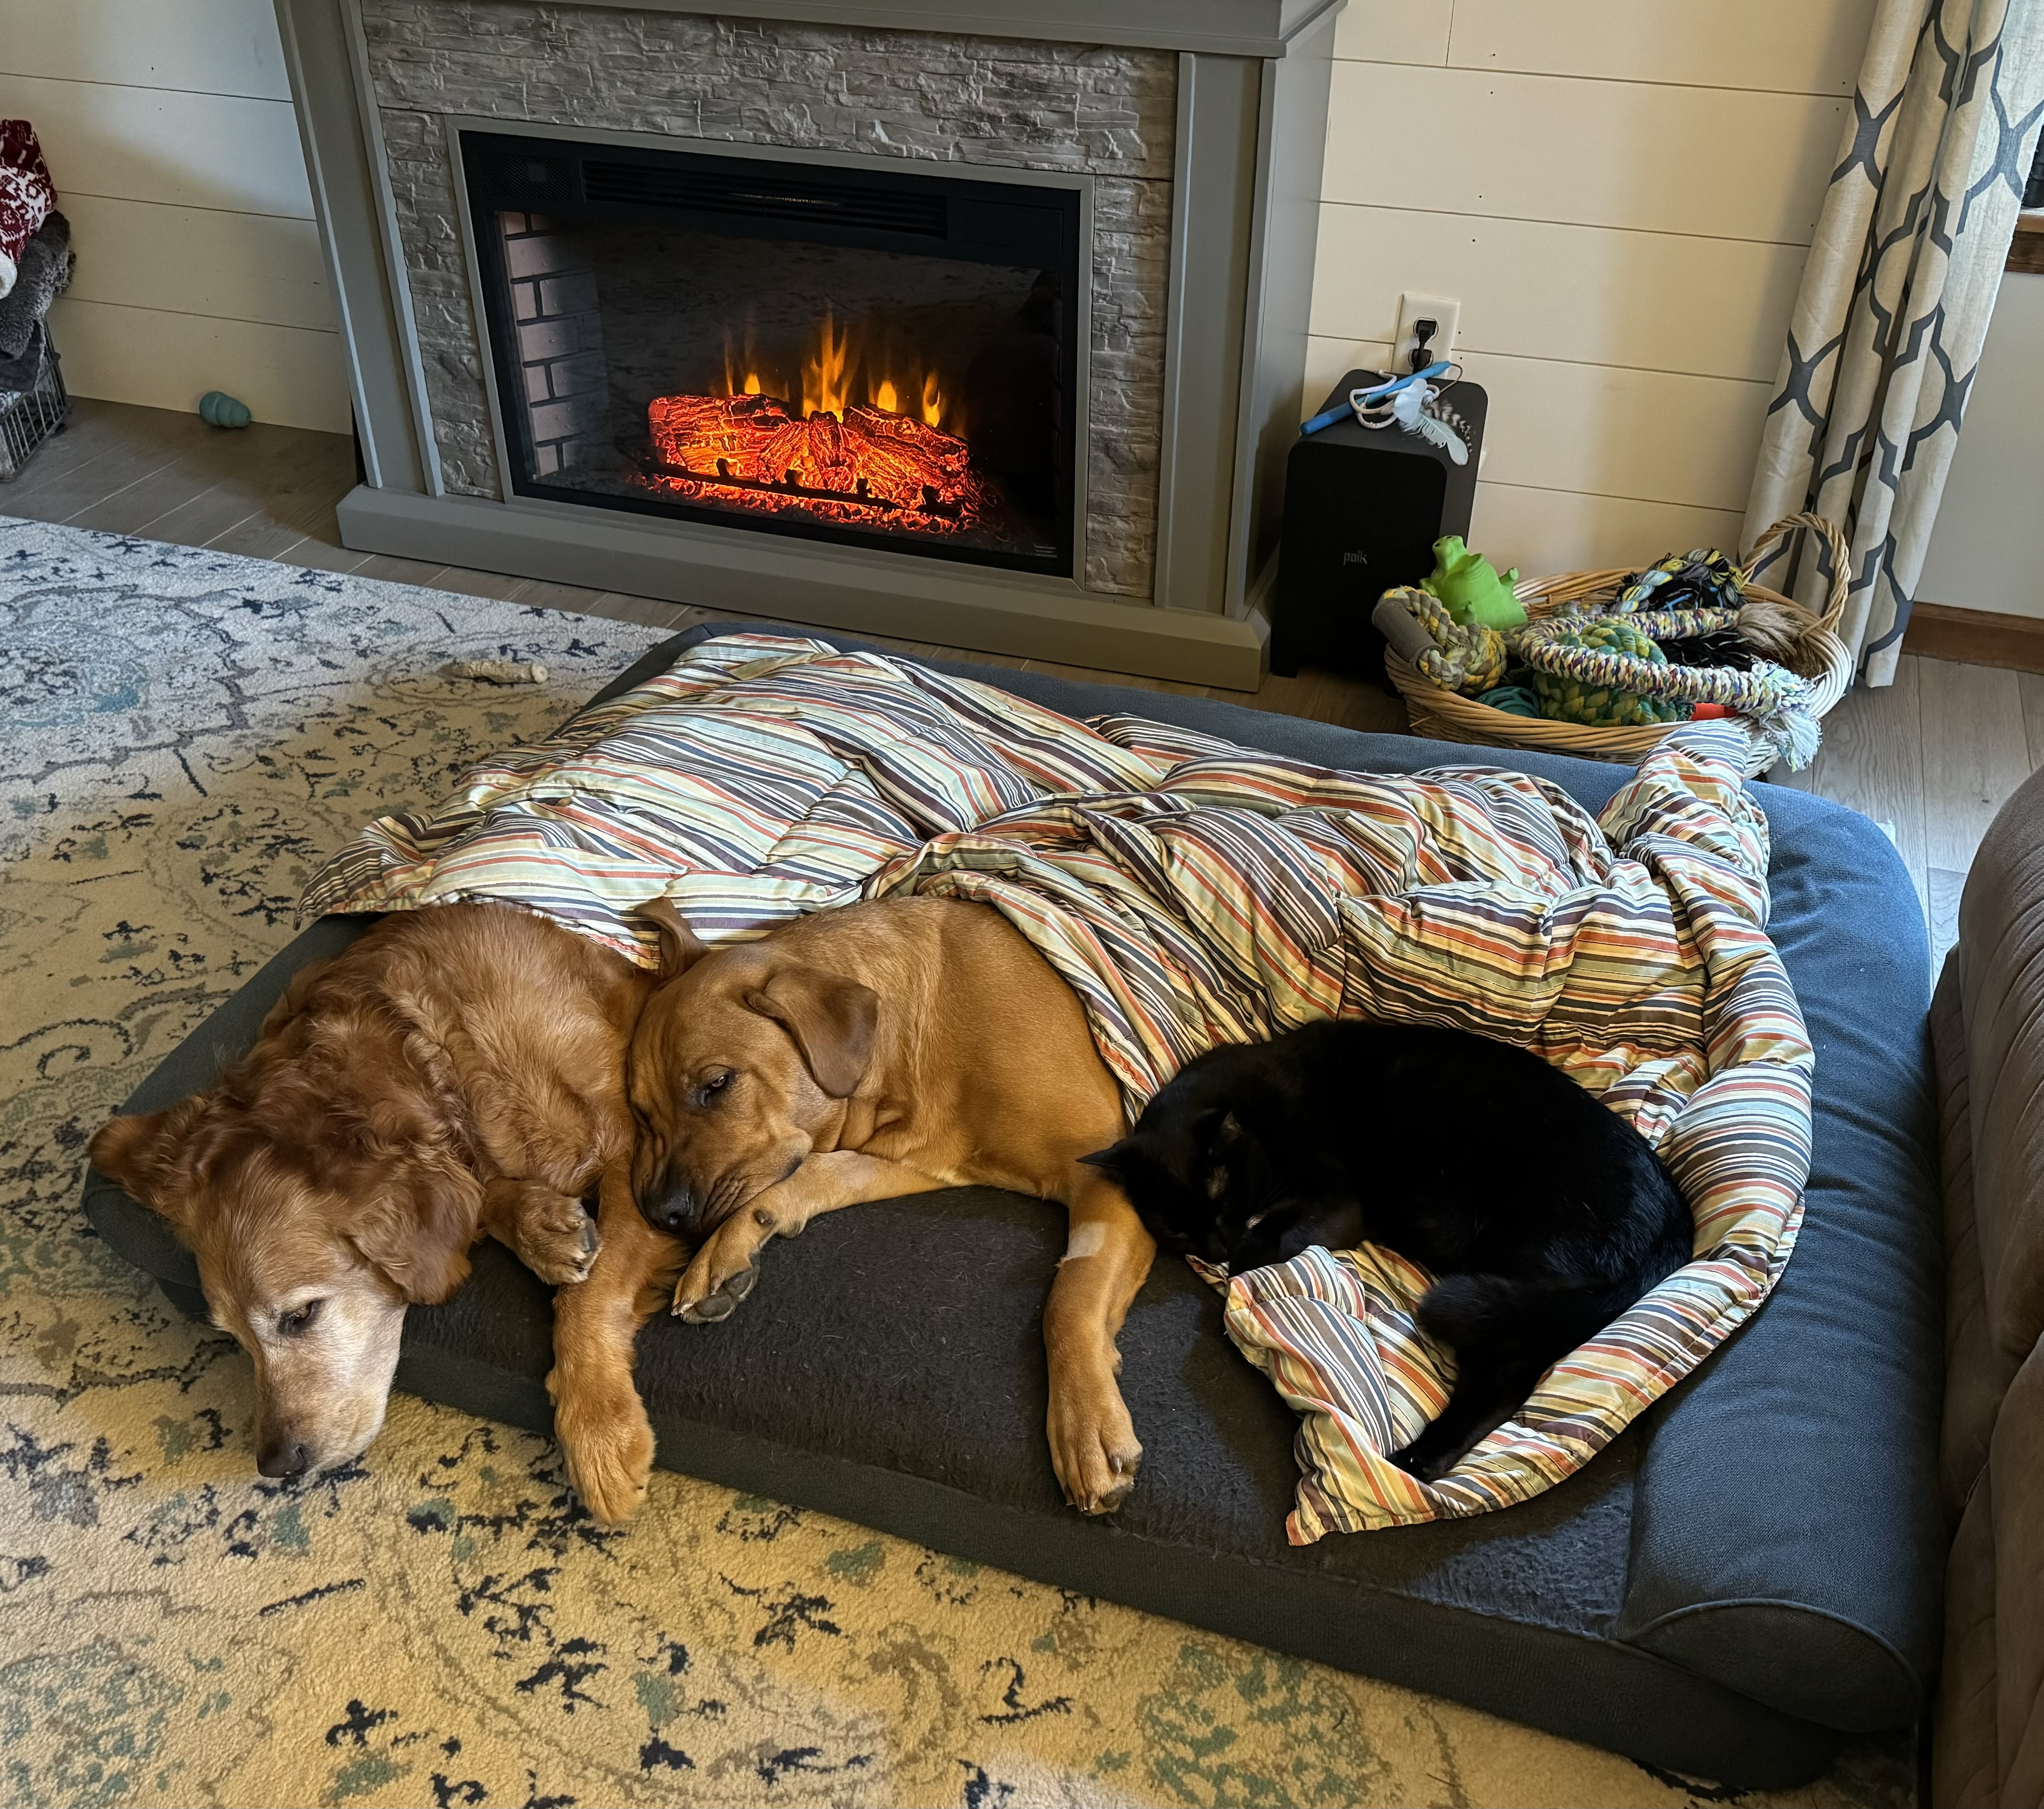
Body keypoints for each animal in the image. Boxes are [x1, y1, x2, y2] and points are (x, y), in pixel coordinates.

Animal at [543, 891, 1153, 1521]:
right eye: (641, 1114)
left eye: (716, 1084)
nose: (660, 1213)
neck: (911, 1046)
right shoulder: (915, 1158)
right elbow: (818, 1172)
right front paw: (728, 1249)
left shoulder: (1104, 1176)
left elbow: (1069, 1296)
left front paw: (1085, 1421)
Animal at [1087, 1022, 1692, 1471]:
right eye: (1176, 1231)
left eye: (1221, 1200)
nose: (1210, 1246)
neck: (1260, 1110)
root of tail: (1673, 1227)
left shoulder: (1339, 1199)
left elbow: (1266, 1240)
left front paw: (1241, 1264)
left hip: (1513, 1266)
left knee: (1503, 1380)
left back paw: (1415, 1460)